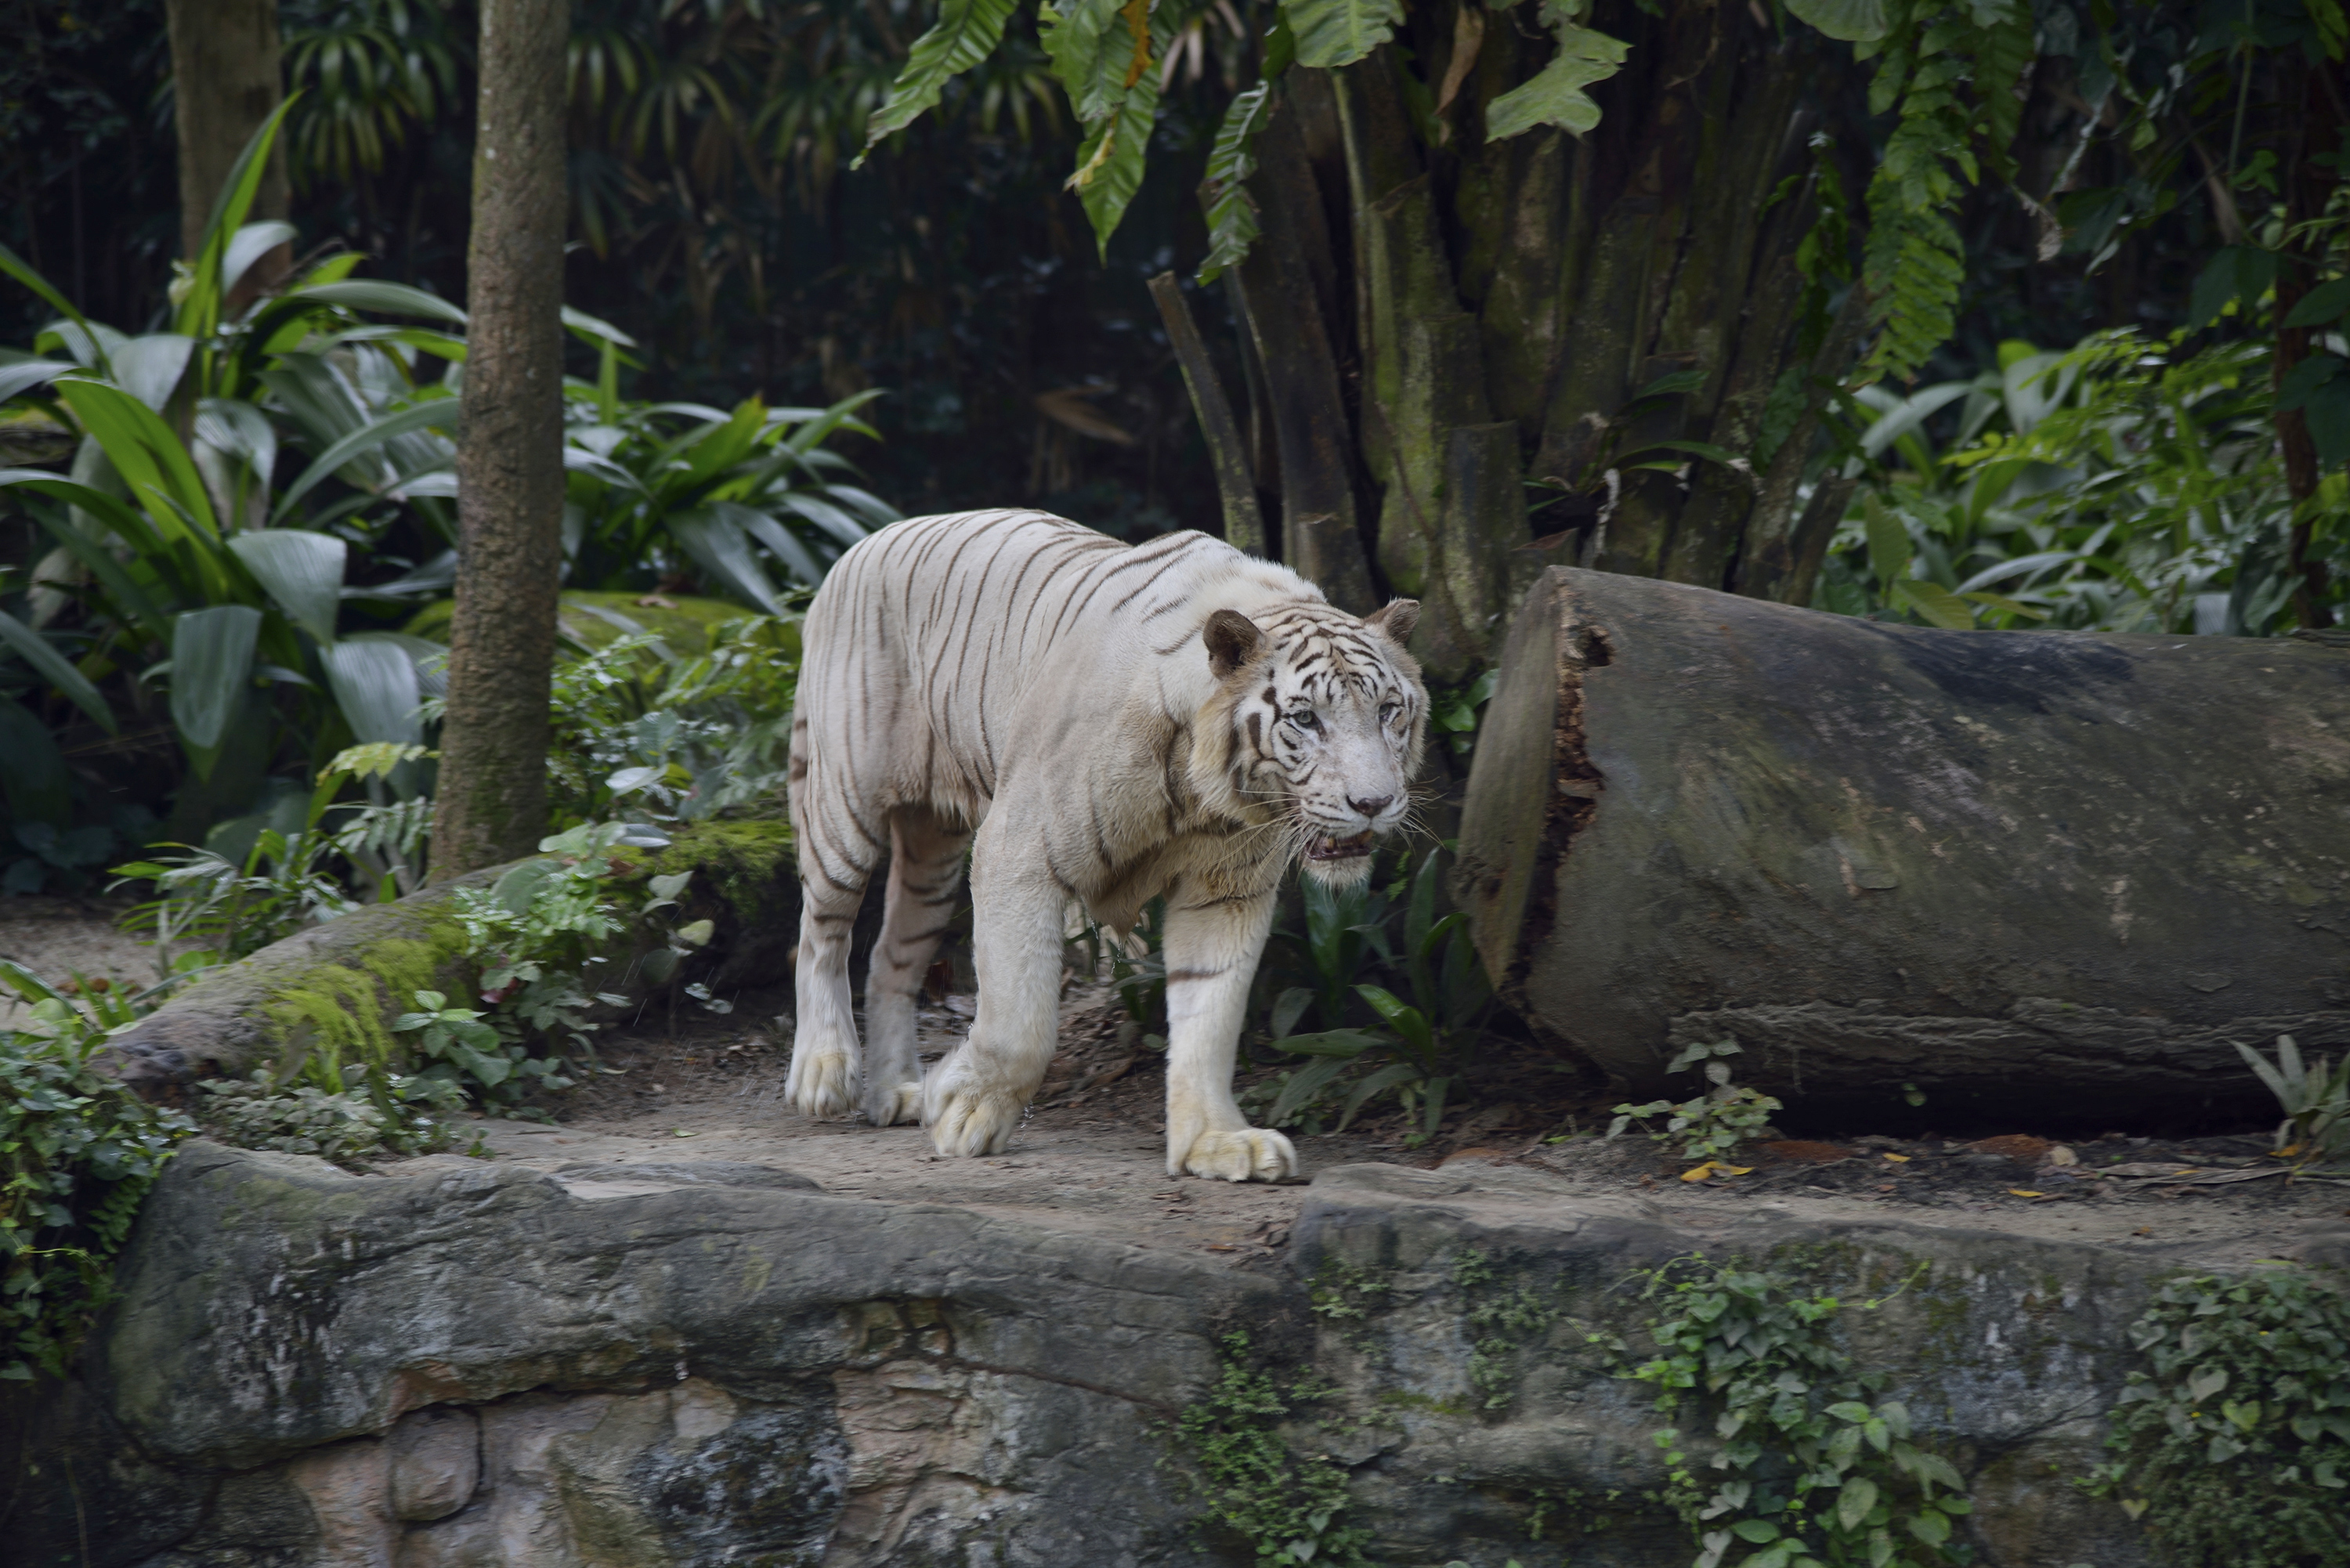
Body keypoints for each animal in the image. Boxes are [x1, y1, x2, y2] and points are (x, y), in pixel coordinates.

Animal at [783, 508, 1428, 1182]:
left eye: (1388, 711)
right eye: (1306, 719)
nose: (1374, 802)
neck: (1201, 792)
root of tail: (859, 547)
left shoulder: (1225, 891)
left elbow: (1210, 1016)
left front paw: (1218, 1141)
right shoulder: (1018, 853)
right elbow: (1020, 1019)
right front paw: (963, 1110)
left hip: (932, 850)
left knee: (891, 954)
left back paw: (897, 1092)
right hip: (846, 807)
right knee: (821, 932)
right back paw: (824, 1073)